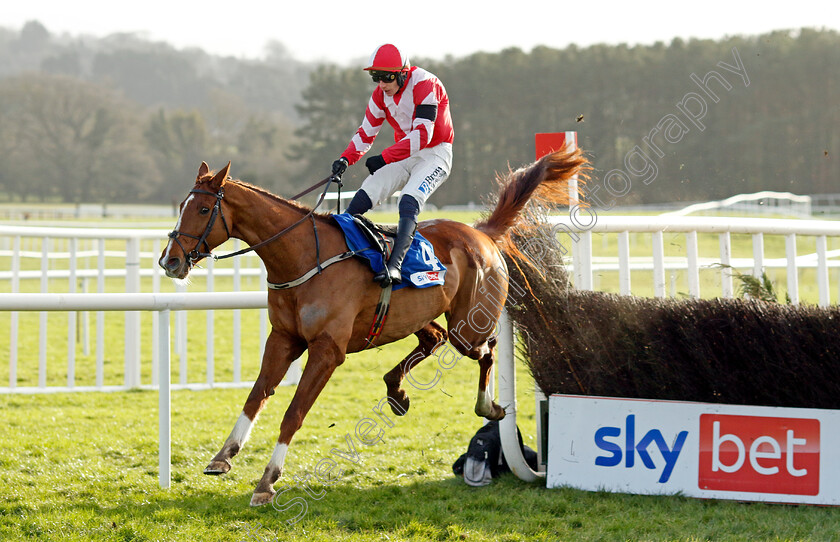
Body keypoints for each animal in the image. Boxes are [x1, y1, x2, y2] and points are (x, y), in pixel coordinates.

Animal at [161, 148, 588, 506]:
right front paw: (223, 456)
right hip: (416, 317)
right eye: (181, 206)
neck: (304, 257)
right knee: (434, 337)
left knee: (487, 348)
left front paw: (267, 482)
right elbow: (256, 397)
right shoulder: (283, 338)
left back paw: (487, 404)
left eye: (203, 209)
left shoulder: (327, 351)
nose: (170, 261)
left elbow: (293, 414)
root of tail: (481, 232)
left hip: (470, 326)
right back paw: (396, 389)